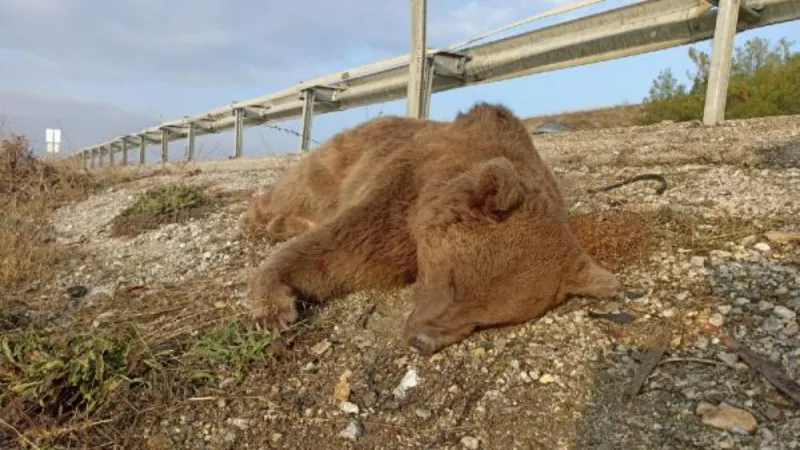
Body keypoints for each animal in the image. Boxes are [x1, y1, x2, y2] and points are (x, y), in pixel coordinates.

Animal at [242, 103, 620, 356]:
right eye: (452, 283)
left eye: (486, 320)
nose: (419, 342)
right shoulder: (403, 190)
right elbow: (339, 250)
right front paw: (275, 309)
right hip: (340, 160)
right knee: (297, 189)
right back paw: (261, 220)